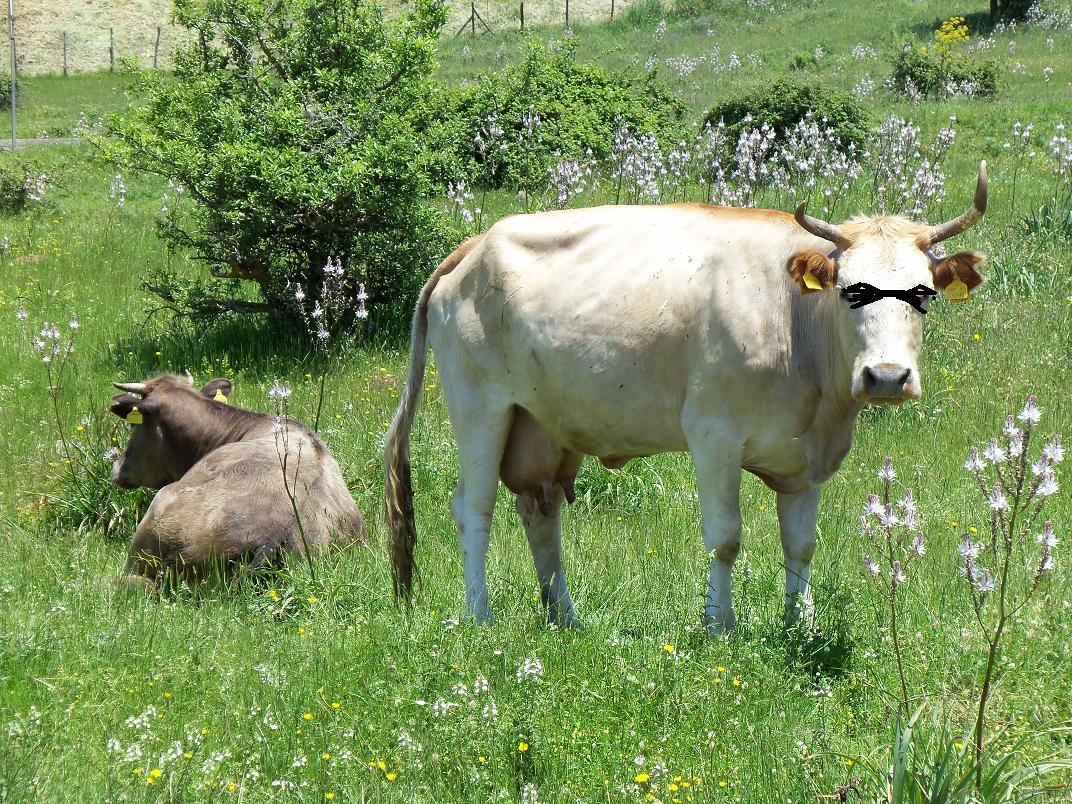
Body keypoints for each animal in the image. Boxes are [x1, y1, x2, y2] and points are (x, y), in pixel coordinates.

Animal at [385, 163, 989, 632]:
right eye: (850, 292)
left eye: (925, 294)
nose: (886, 377)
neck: (792, 320)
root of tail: (472, 247)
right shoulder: (713, 435)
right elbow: (726, 538)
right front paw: (719, 625)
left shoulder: (806, 458)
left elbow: (801, 544)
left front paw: (800, 625)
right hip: (480, 409)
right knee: (474, 507)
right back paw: (480, 617)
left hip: (542, 426)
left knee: (540, 512)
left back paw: (566, 619)